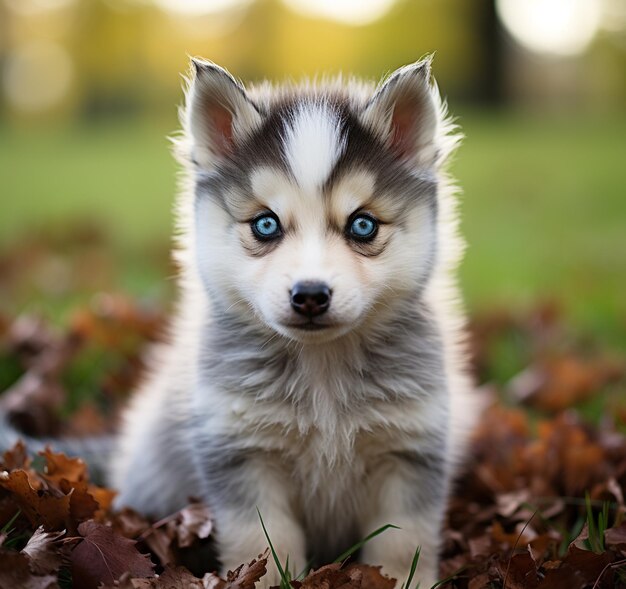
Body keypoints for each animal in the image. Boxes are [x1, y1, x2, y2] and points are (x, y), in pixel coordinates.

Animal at [3, 57, 478, 584]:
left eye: (363, 225)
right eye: (266, 224)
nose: (310, 295)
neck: (322, 370)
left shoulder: (411, 450)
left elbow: (402, 541)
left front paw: (406, 579)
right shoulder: (240, 451)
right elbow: (263, 538)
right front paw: (268, 579)